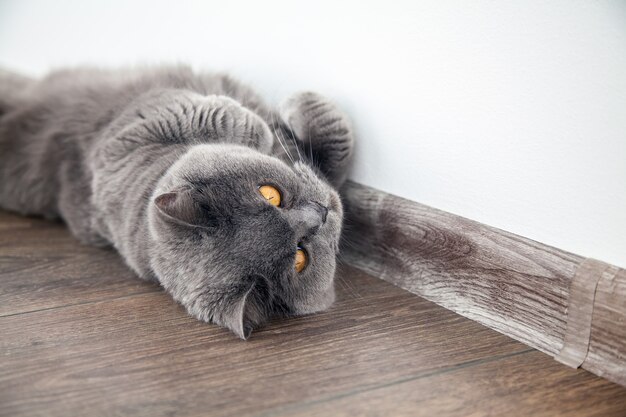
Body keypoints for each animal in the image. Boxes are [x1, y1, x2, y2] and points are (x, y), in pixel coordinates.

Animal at [0, 66, 352, 338]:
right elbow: (227, 115)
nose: (321, 212)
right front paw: (283, 112)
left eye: (270, 194)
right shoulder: (124, 142)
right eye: (300, 258)